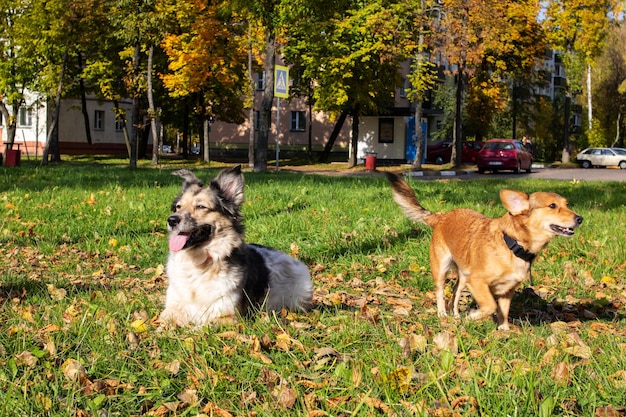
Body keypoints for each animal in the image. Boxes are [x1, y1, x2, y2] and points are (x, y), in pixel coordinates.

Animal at [157, 165, 310, 324]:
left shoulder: (228, 317)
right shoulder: (171, 309)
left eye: (200, 206)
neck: (199, 263)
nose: (171, 220)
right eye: (178, 207)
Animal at [382, 172, 584, 328]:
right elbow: (490, 306)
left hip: (463, 276)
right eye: (552, 206)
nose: (580, 218)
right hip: (442, 269)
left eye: (566, 204)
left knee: (455, 293)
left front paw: (503, 330)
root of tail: (442, 216)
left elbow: (503, 311)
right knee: (440, 292)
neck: (512, 244)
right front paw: (473, 316)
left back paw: (456, 315)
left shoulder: (506, 292)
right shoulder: (478, 282)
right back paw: (443, 315)